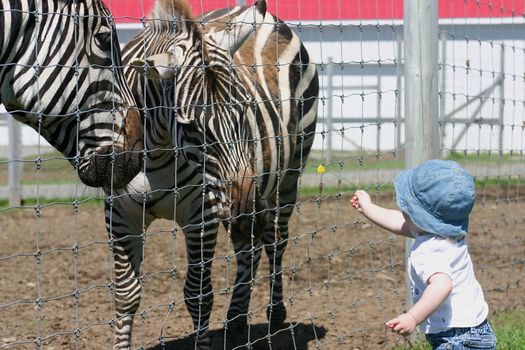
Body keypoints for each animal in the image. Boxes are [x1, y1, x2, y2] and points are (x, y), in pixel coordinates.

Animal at [108, 0, 318, 348]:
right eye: (191, 127)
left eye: (246, 109)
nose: (248, 208)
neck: (156, 155)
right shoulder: (120, 214)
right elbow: (126, 295)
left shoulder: (202, 214)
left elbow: (198, 294)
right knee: (249, 247)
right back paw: (236, 319)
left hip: (287, 177)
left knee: (274, 241)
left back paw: (275, 314)